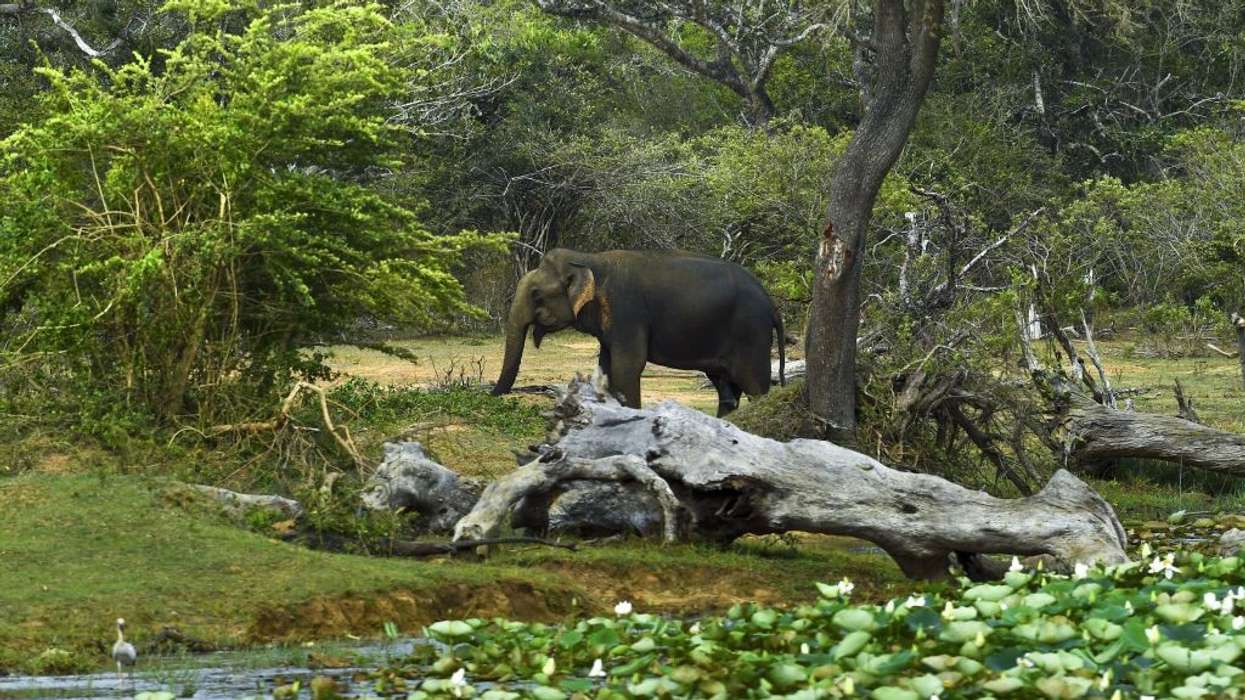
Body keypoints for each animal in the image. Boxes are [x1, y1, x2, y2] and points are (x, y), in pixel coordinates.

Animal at [491, 248, 785, 416]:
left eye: (536, 294)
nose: (491, 394)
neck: (589, 259)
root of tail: (772, 305)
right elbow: (607, 367)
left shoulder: (627, 312)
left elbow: (627, 367)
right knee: (727, 391)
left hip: (751, 334)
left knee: (756, 387)